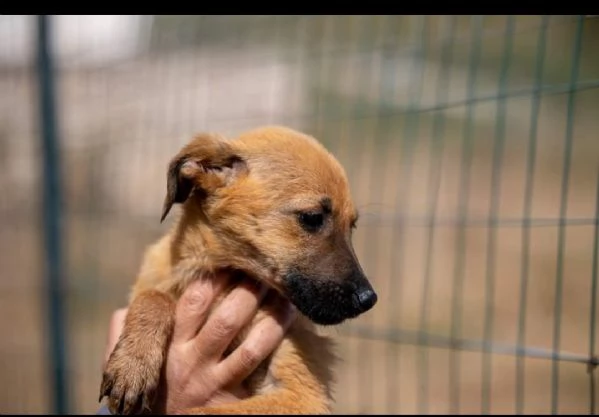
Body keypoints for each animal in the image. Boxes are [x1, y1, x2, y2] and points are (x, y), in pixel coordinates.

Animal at [99, 126, 380, 412]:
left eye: (352, 226)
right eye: (312, 218)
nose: (368, 300)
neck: (225, 269)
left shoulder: (301, 396)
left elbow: (202, 411)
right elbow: (153, 296)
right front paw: (133, 364)